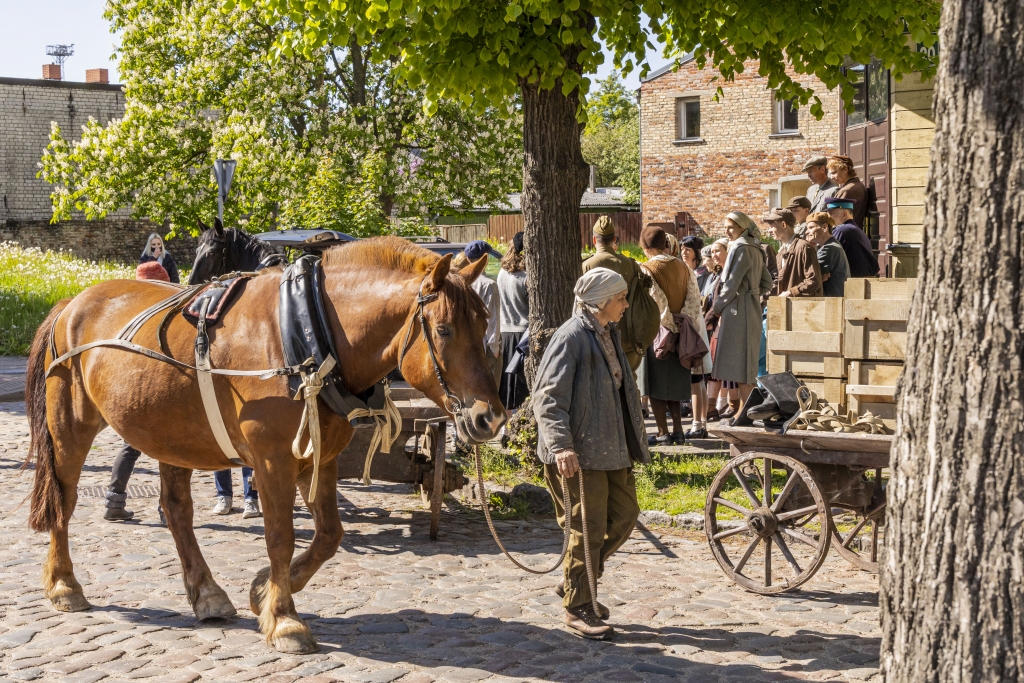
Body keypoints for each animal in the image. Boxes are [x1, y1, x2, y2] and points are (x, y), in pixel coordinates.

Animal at [24, 237, 503, 655]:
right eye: (443, 329)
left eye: (484, 324)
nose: (491, 417)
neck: (308, 332)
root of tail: (71, 304)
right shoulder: (273, 462)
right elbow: (280, 536)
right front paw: (285, 617)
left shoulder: (319, 457)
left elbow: (330, 534)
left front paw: (263, 591)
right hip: (71, 428)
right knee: (64, 500)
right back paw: (64, 585)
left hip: (170, 433)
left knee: (177, 511)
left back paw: (207, 593)